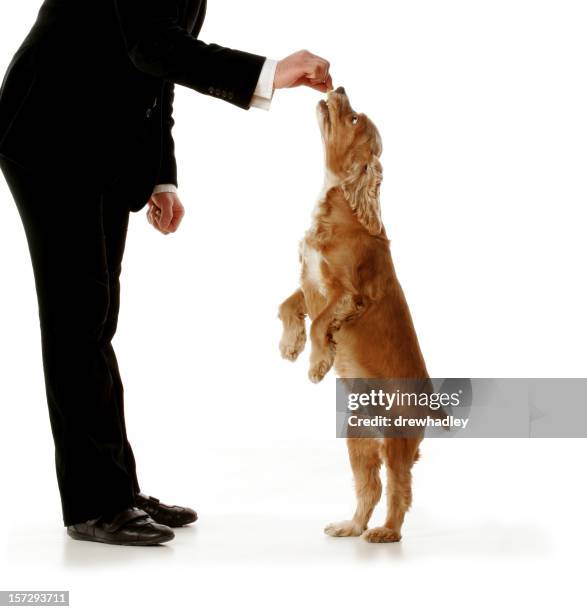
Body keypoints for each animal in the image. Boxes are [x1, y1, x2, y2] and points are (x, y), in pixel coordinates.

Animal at [280, 87, 428, 544]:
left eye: (356, 119)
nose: (338, 88)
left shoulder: (348, 294)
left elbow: (320, 323)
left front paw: (317, 363)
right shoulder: (308, 284)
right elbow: (288, 306)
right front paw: (289, 345)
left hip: (396, 441)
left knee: (399, 489)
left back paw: (386, 532)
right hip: (358, 439)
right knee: (370, 487)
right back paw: (352, 525)